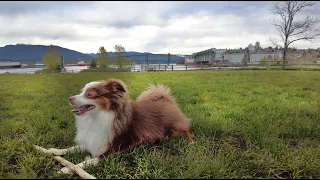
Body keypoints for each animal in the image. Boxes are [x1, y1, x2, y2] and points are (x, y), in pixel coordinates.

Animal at [47, 78, 192, 174]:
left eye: (89, 95)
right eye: (81, 92)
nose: (70, 98)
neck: (97, 117)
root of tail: (165, 98)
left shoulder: (115, 150)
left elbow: (90, 160)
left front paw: (67, 168)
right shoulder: (95, 140)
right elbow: (73, 148)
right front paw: (54, 150)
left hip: (174, 130)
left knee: (187, 132)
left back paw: (190, 142)